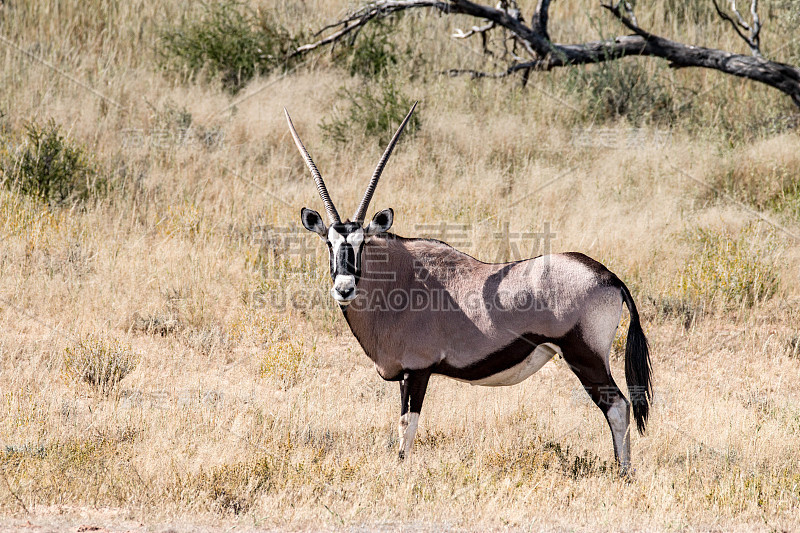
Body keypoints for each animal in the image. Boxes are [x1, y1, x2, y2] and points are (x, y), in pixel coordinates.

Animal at [284, 104, 652, 474]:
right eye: (329, 243)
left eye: (361, 243)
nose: (344, 288)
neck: (400, 279)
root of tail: (608, 276)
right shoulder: (405, 374)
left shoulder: (417, 370)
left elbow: (407, 425)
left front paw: (402, 469)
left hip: (585, 356)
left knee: (617, 406)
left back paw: (623, 472)